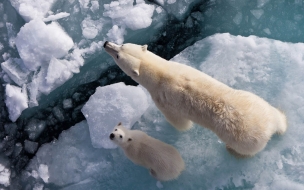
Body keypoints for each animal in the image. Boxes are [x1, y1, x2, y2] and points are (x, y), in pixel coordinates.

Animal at [103, 41, 286, 157]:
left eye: (118, 55)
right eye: (122, 45)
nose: (106, 43)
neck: (161, 73)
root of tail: (269, 127)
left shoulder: (162, 99)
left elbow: (179, 122)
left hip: (243, 139)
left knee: (244, 149)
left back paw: (231, 150)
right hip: (255, 100)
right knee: (276, 114)